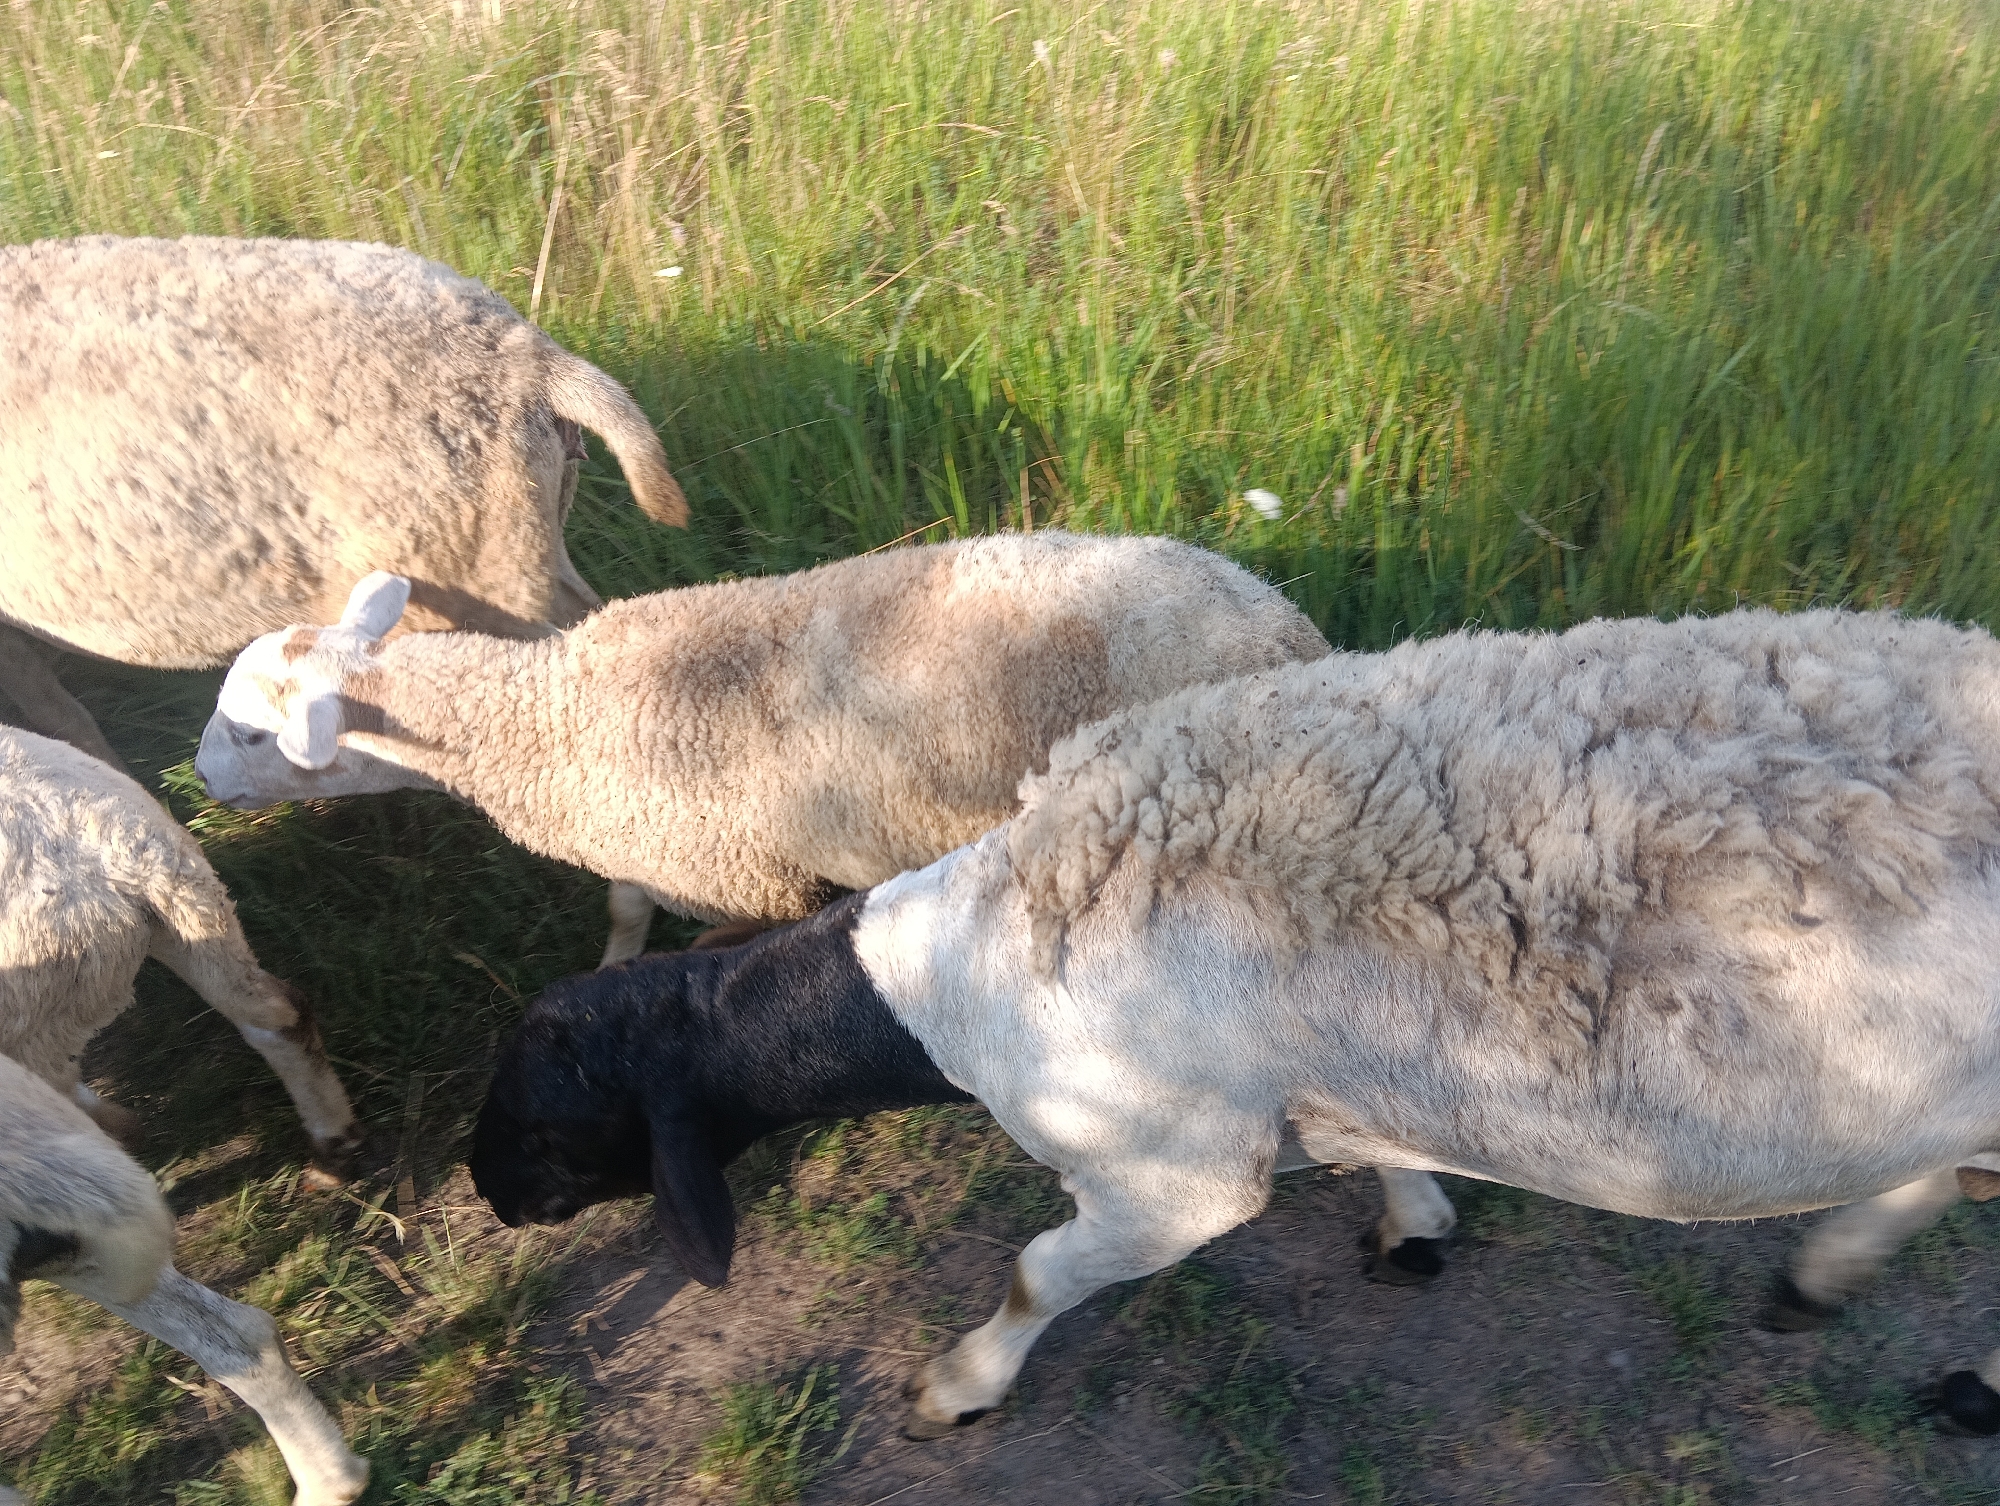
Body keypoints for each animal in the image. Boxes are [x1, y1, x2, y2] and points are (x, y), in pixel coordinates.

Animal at [0, 727, 359, 1176]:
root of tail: (116, 857)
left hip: (34, 1008)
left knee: (52, 1092)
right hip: (195, 913)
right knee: (278, 1015)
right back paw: (335, 1139)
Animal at [191, 532, 1334, 969]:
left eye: (250, 731)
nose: (199, 780)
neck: (544, 715)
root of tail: (1286, 628)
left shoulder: (750, 876)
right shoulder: (648, 842)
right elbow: (624, 909)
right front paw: (611, 961)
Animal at [466, 607, 2000, 1439]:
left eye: (544, 1097)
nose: (484, 1193)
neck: (945, 972)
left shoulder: (1168, 1172)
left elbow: (1036, 1275)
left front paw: (957, 1384)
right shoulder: (1307, 1085)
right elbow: (1382, 1153)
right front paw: (1413, 1223)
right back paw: (1826, 1275)